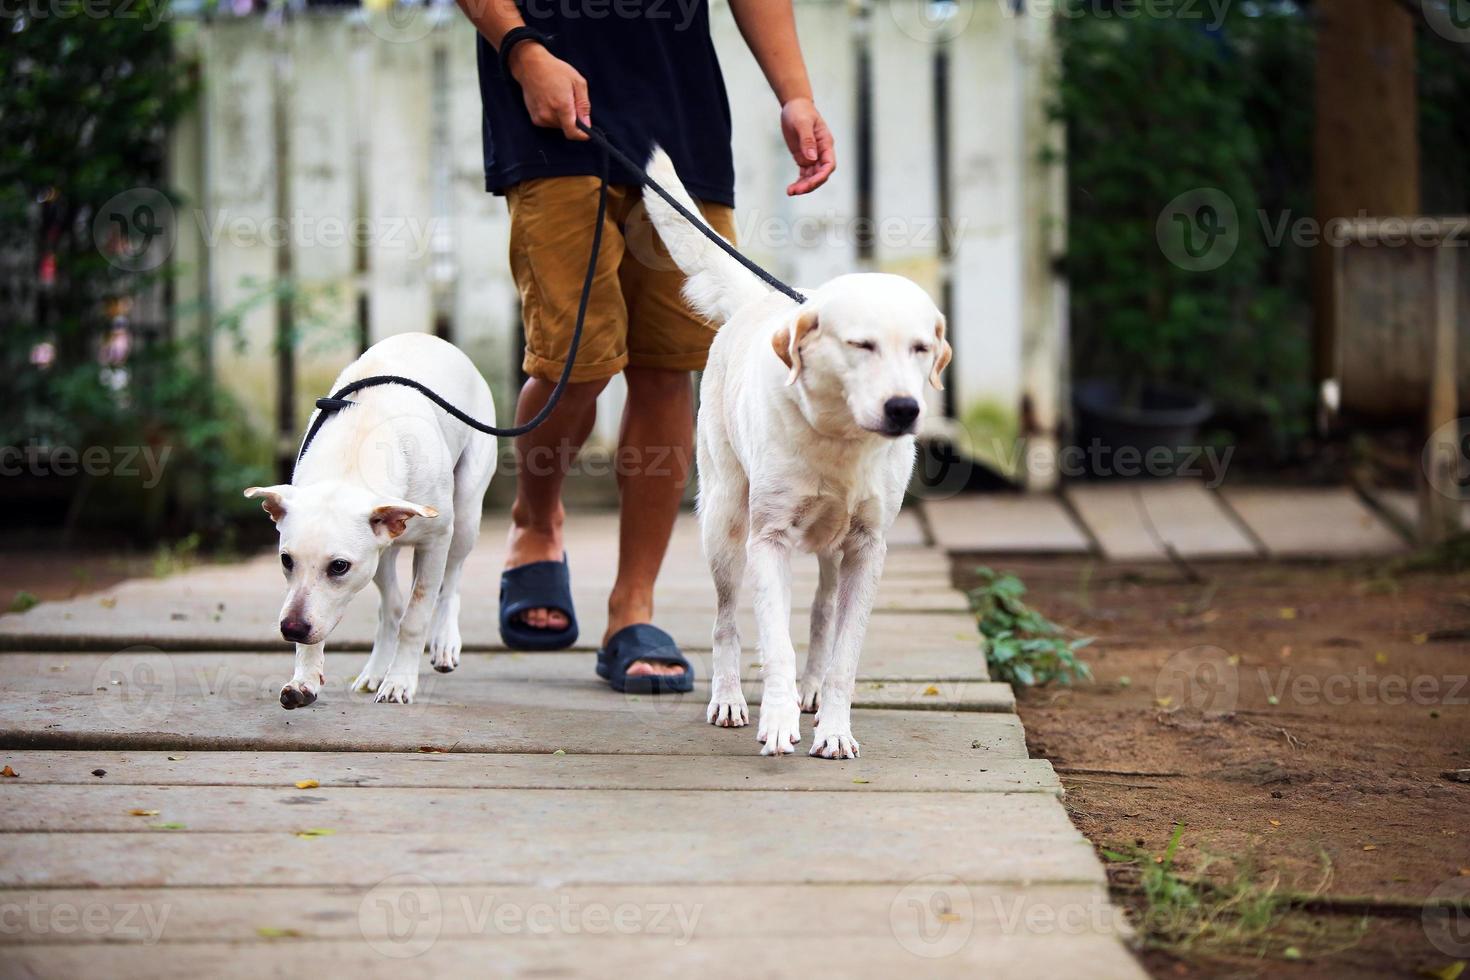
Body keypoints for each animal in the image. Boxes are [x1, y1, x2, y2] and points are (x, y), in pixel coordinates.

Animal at [241, 333, 493, 708]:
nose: (291, 629)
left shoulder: (436, 540)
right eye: (286, 560)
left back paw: (444, 642)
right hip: (383, 557)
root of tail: (433, 338)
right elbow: (385, 612)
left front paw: (400, 682)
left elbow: (417, 615)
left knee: (450, 582)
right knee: (391, 607)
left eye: (339, 566)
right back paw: (375, 672)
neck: (353, 455)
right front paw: (304, 679)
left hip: (465, 517)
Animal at [643, 147, 952, 758]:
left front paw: (833, 729)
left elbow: (844, 658)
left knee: (822, 612)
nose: (904, 409)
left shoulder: (868, 548)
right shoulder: (770, 541)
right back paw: (729, 697)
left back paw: (810, 690)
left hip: (834, 552)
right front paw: (779, 720)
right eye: (861, 345)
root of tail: (765, 301)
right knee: (726, 621)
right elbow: (775, 643)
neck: (840, 438)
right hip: (724, 525)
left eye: (920, 348)